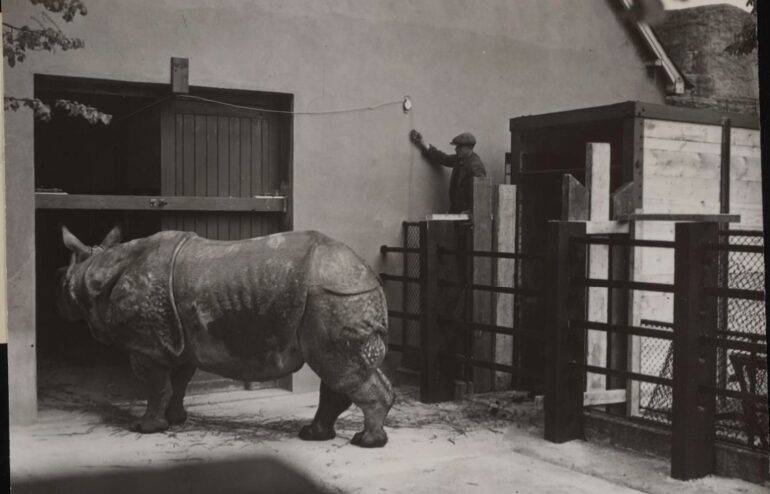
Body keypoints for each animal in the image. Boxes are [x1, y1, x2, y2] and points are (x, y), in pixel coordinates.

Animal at [57, 225, 394, 447]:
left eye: (61, 283)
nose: (59, 307)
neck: (95, 269)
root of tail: (366, 271)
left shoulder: (146, 346)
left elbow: (156, 386)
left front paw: (144, 427)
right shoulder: (179, 339)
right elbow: (179, 382)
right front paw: (177, 419)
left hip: (333, 294)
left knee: (338, 367)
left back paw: (365, 442)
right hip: (338, 294)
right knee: (339, 367)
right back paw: (314, 435)